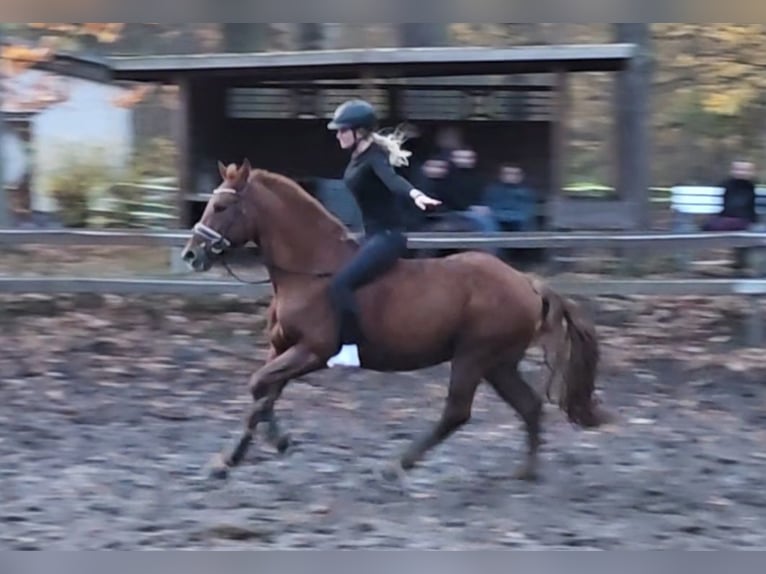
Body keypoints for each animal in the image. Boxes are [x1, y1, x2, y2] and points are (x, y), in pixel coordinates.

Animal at [181, 159, 609, 482]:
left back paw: (396, 465)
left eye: (222, 208)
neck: (307, 273)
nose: (191, 255)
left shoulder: (313, 352)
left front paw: (273, 444)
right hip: (498, 364)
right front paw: (231, 459)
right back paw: (526, 472)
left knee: (457, 412)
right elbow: (263, 394)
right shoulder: (283, 348)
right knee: (529, 406)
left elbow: (258, 388)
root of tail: (527, 283)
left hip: (474, 357)